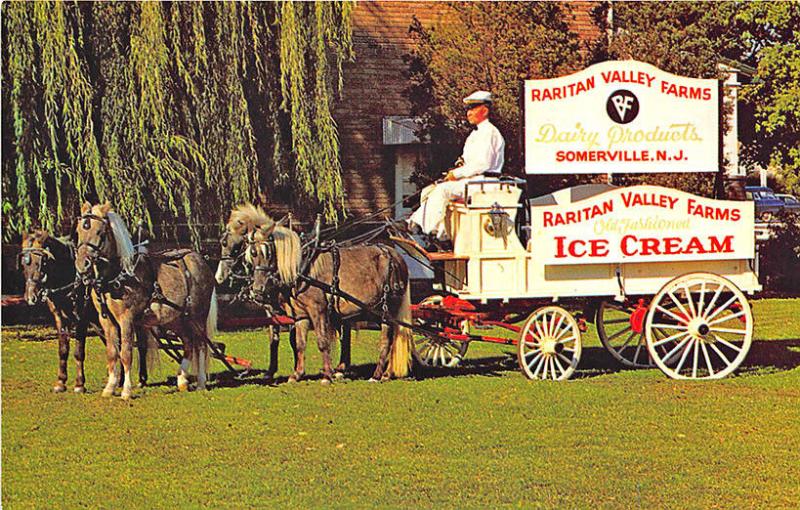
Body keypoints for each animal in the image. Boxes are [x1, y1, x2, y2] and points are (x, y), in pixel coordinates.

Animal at [74, 202, 217, 398]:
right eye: (79, 230)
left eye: (100, 233)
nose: (82, 264)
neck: (119, 276)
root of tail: (201, 261)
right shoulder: (107, 321)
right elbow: (112, 352)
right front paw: (110, 387)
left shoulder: (126, 319)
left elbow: (126, 353)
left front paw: (126, 390)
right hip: (177, 318)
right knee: (188, 342)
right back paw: (182, 380)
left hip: (198, 316)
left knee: (201, 345)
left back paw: (201, 382)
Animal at [247, 216, 412, 382]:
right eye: (252, 254)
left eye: (269, 253)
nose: (257, 290)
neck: (303, 268)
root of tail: (394, 255)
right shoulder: (301, 315)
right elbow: (300, 343)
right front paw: (297, 374)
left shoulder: (318, 309)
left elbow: (322, 341)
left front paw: (327, 375)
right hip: (376, 311)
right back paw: (386, 373)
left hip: (388, 311)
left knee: (387, 341)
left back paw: (378, 374)